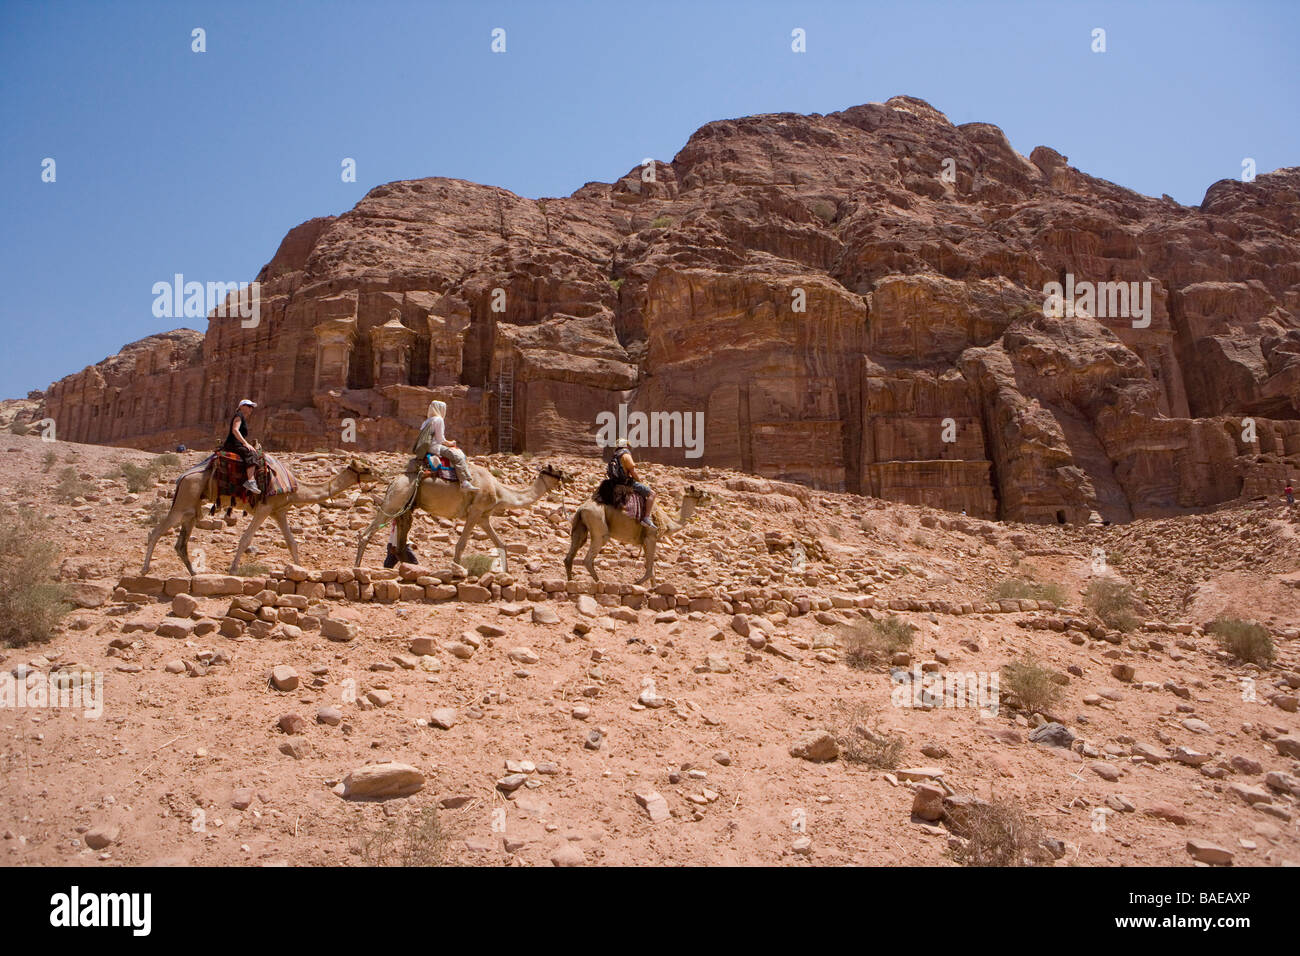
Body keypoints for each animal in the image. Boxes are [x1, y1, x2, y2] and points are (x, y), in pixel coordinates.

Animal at [142, 457, 379, 574]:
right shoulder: (265, 508)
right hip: (183, 502)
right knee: (155, 532)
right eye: (366, 468)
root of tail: (182, 478)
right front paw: (233, 569)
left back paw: (194, 573)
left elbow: (292, 542)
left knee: (181, 544)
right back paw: (144, 570)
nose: (381, 476)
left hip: (192, 508)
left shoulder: (279, 511)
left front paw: (300, 568)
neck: (295, 488)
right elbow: (246, 538)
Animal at [358, 463, 577, 572]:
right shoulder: (475, 511)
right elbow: (461, 544)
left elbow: (501, 544)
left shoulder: (483, 517)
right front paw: (456, 571)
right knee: (366, 532)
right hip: (396, 498)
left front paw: (507, 572)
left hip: (405, 504)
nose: (571, 477)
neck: (499, 491)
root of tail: (393, 480)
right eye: (559, 471)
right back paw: (357, 567)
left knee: (401, 532)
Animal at [564, 481, 712, 587]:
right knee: (588, 559)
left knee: (570, 555)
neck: (669, 522)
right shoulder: (651, 537)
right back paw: (599, 582)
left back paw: (571, 581)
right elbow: (650, 569)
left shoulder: (645, 541)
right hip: (599, 526)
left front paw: (654, 588)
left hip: (580, 526)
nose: (710, 496)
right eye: (698, 490)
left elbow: (651, 568)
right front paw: (638, 583)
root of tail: (581, 508)